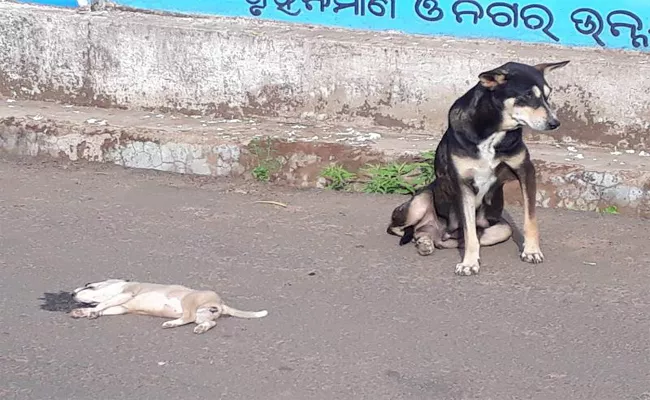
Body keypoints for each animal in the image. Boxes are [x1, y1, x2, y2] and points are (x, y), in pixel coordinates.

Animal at [67, 278, 266, 334]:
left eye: (89, 285)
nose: (71, 293)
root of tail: (221, 303)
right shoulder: (120, 307)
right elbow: (105, 307)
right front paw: (86, 312)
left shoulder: (127, 293)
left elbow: (103, 303)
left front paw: (91, 309)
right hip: (203, 314)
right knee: (209, 323)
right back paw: (199, 328)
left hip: (188, 301)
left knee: (188, 317)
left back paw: (171, 323)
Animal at [384, 59, 568, 276]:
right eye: (527, 96)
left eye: (548, 95)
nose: (555, 123)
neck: (492, 132)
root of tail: (437, 230)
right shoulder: (463, 185)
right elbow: (470, 231)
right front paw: (469, 263)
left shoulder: (525, 171)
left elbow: (530, 219)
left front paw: (531, 251)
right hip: (419, 202)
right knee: (400, 229)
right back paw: (424, 241)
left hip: (501, 229)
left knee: (432, 236)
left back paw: (426, 242)